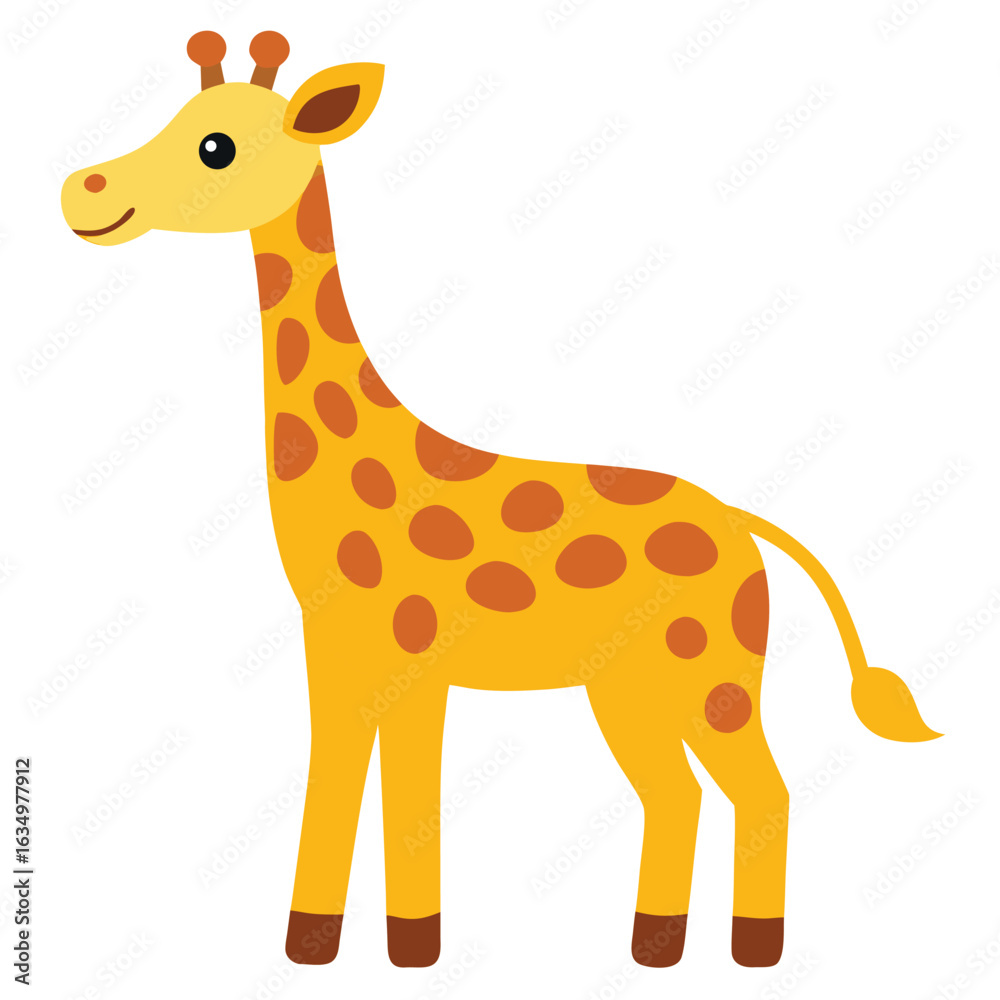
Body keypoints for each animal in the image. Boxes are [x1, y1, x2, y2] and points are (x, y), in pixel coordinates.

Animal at [60, 30, 941, 971]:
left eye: (216, 145)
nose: (84, 190)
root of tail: (744, 525)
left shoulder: (413, 657)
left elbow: (410, 792)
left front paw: (413, 948)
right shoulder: (333, 651)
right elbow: (334, 777)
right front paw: (310, 945)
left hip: (714, 675)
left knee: (766, 791)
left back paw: (753, 952)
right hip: (629, 687)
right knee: (678, 793)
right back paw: (653, 947)